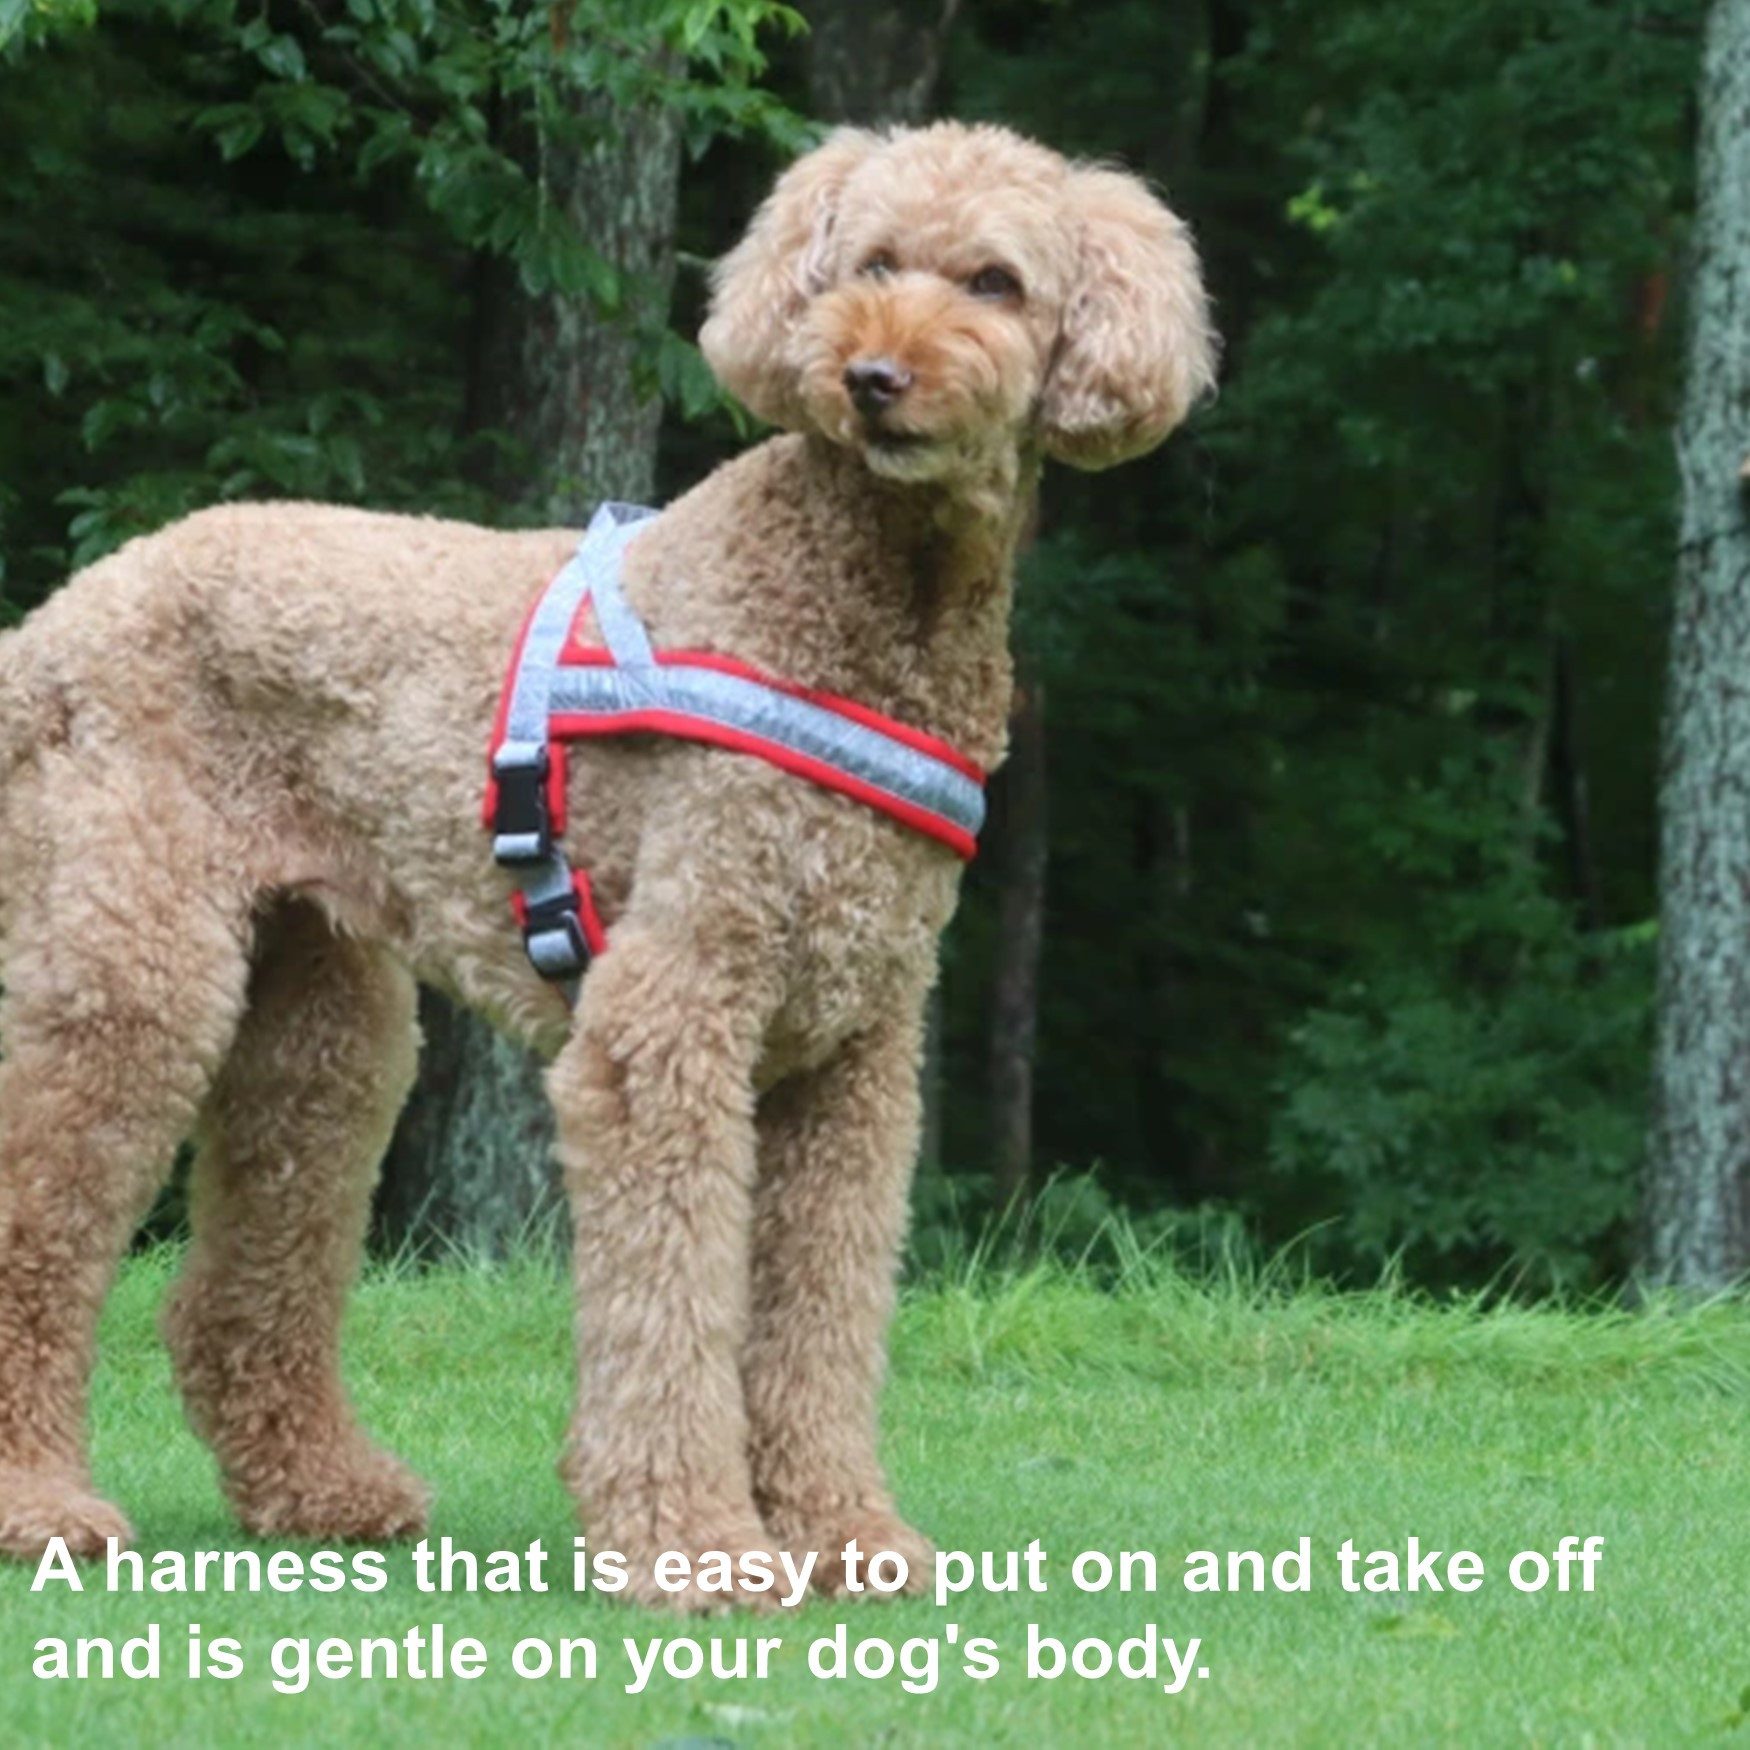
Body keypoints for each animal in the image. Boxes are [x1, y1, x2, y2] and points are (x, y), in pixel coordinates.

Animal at [0, 121, 1213, 1608]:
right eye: (868, 264)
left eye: (994, 280)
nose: (870, 377)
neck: (864, 596)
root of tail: (55, 622)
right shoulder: (671, 1021)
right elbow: (672, 1308)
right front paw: (698, 1542)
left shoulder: (855, 1054)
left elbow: (819, 1314)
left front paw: (842, 1531)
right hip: (135, 974)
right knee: (43, 1228)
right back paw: (41, 1504)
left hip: (322, 1022)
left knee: (241, 1280)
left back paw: (324, 1491)